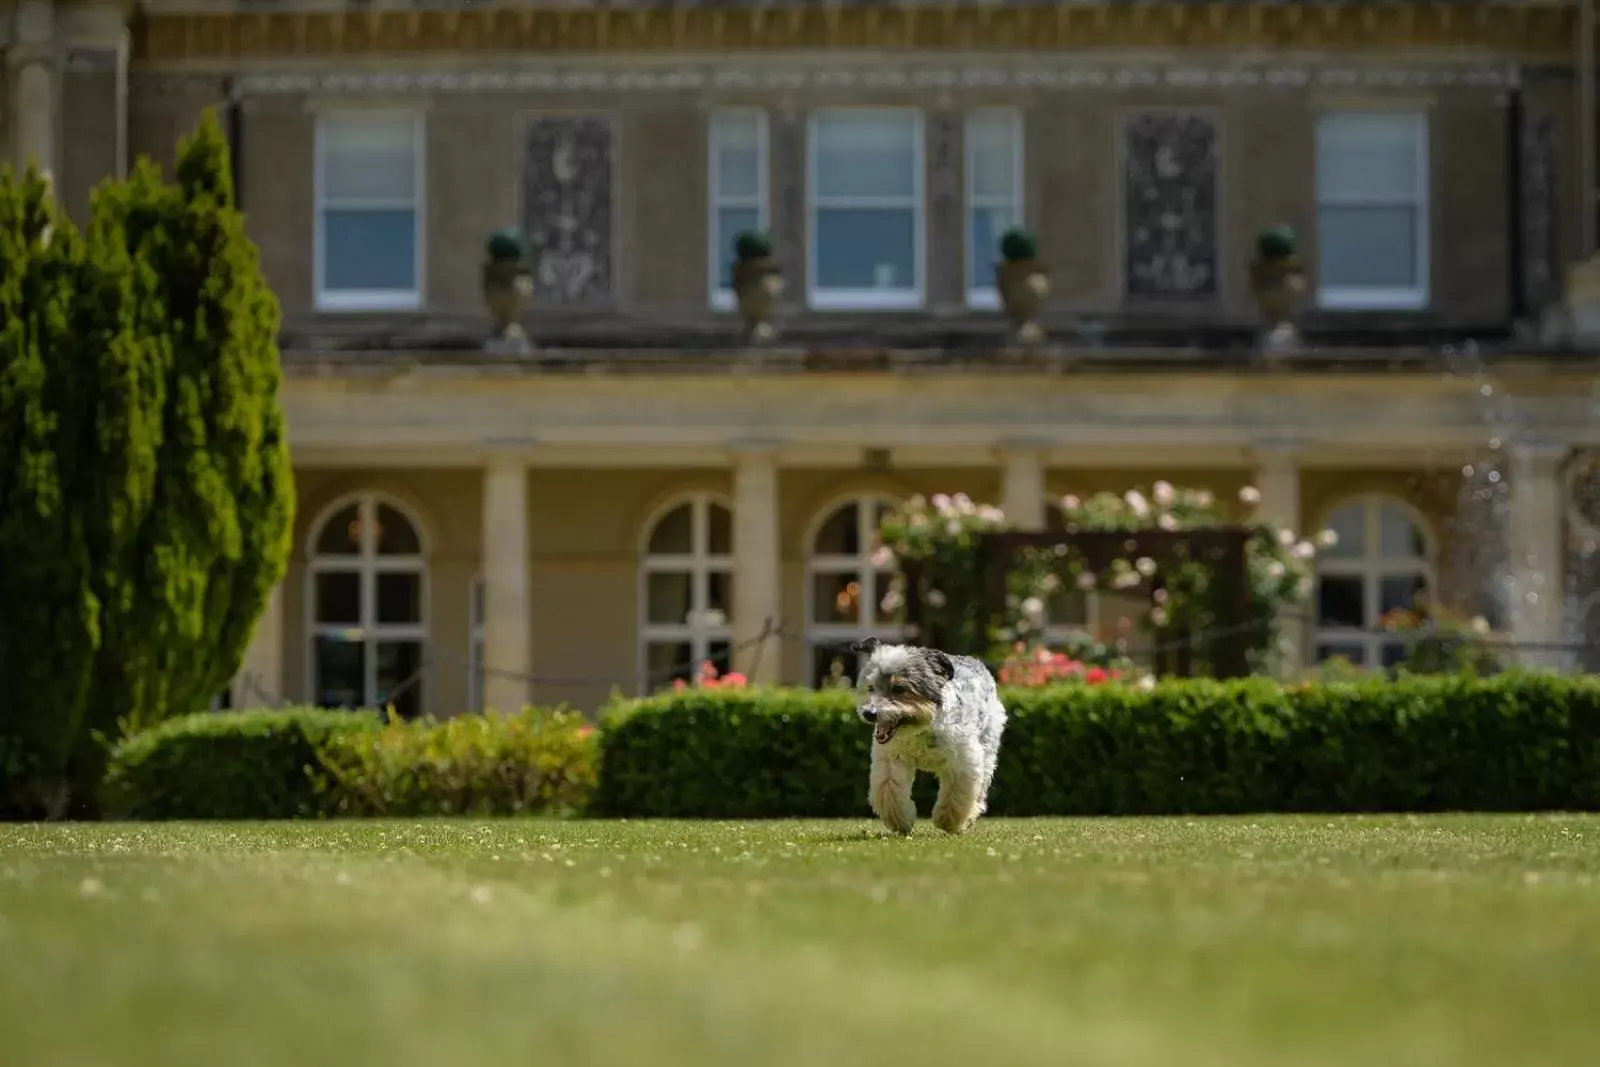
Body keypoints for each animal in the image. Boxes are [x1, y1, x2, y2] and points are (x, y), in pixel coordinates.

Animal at [844, 639, 1004, 838]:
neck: (920, 729)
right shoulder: (891, 759)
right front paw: (900, 822)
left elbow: (956, 795)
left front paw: (948, 821)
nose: (869, 713)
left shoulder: (963, 763)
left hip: (988, 749)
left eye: (899, 688)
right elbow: (889, 790)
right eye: (871, 687)